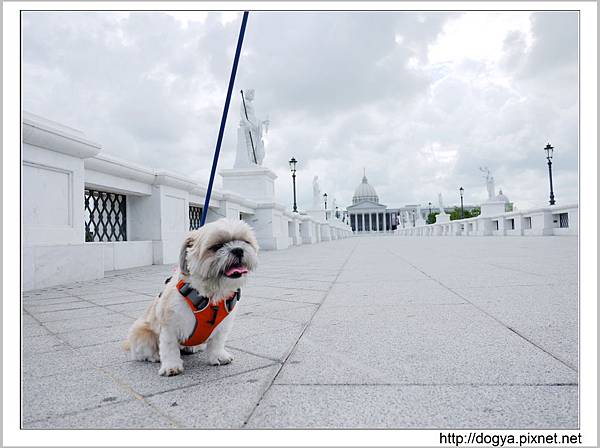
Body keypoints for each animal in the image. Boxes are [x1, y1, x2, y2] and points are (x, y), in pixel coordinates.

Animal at [124, 219, 258, 376]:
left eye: (245, 242)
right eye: (217, 246)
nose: (238, 249)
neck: (211, 295)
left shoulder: (222, 326)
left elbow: (217, 341)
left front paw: (218, 355)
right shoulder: (169, 325)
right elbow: (169, 347)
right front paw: (171, 366)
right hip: (141, 333)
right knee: (144, 352)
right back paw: (155, 356)